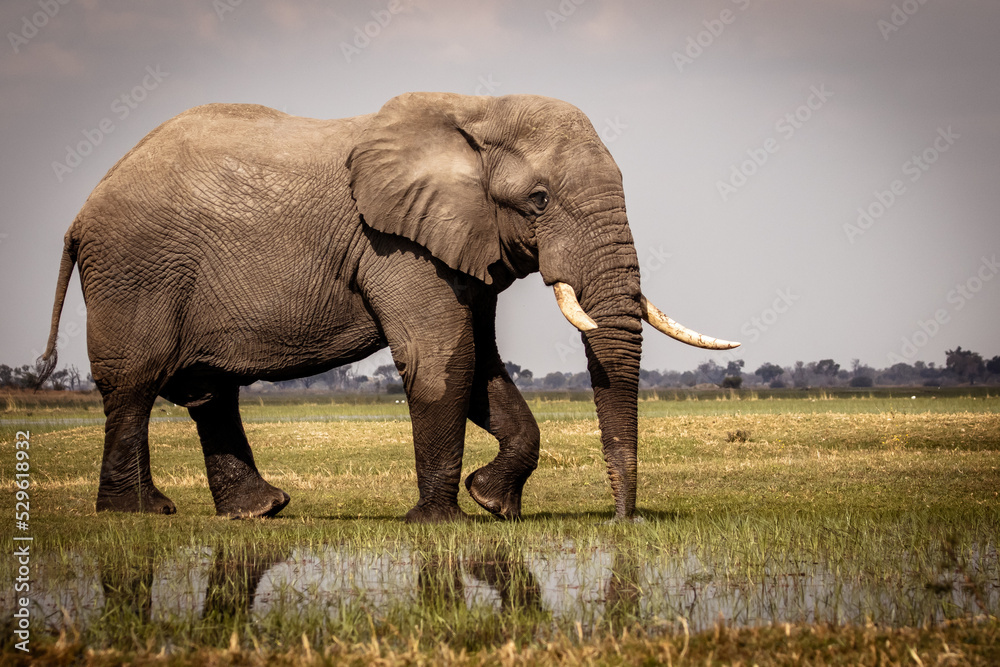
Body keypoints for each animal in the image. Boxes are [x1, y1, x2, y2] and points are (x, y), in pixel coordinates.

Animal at [39, 92, 738, 522]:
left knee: (210, 394)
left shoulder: (462, 245)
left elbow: (479, 367)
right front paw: (441, 521)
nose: (623, 521)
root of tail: (78, 215)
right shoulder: (398, 244)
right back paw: (138, 513)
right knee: (134, 382)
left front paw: (493, 505)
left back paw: (259, 511)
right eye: (539, 200)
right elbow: (442, 362)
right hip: (135, 270)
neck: (475, 111)